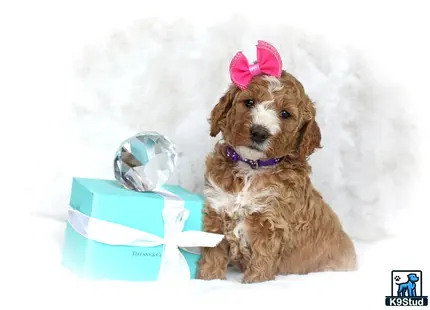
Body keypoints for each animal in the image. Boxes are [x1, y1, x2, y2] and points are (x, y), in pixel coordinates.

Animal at [196, 41, 356, 284]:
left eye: (285, 114)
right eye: (249, 102)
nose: (259, 132)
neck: (251, 168)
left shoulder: (271, 227)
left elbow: (261, 264)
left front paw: (253, 284)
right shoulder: (217, 213)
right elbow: (212, 257)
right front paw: (208, 279)